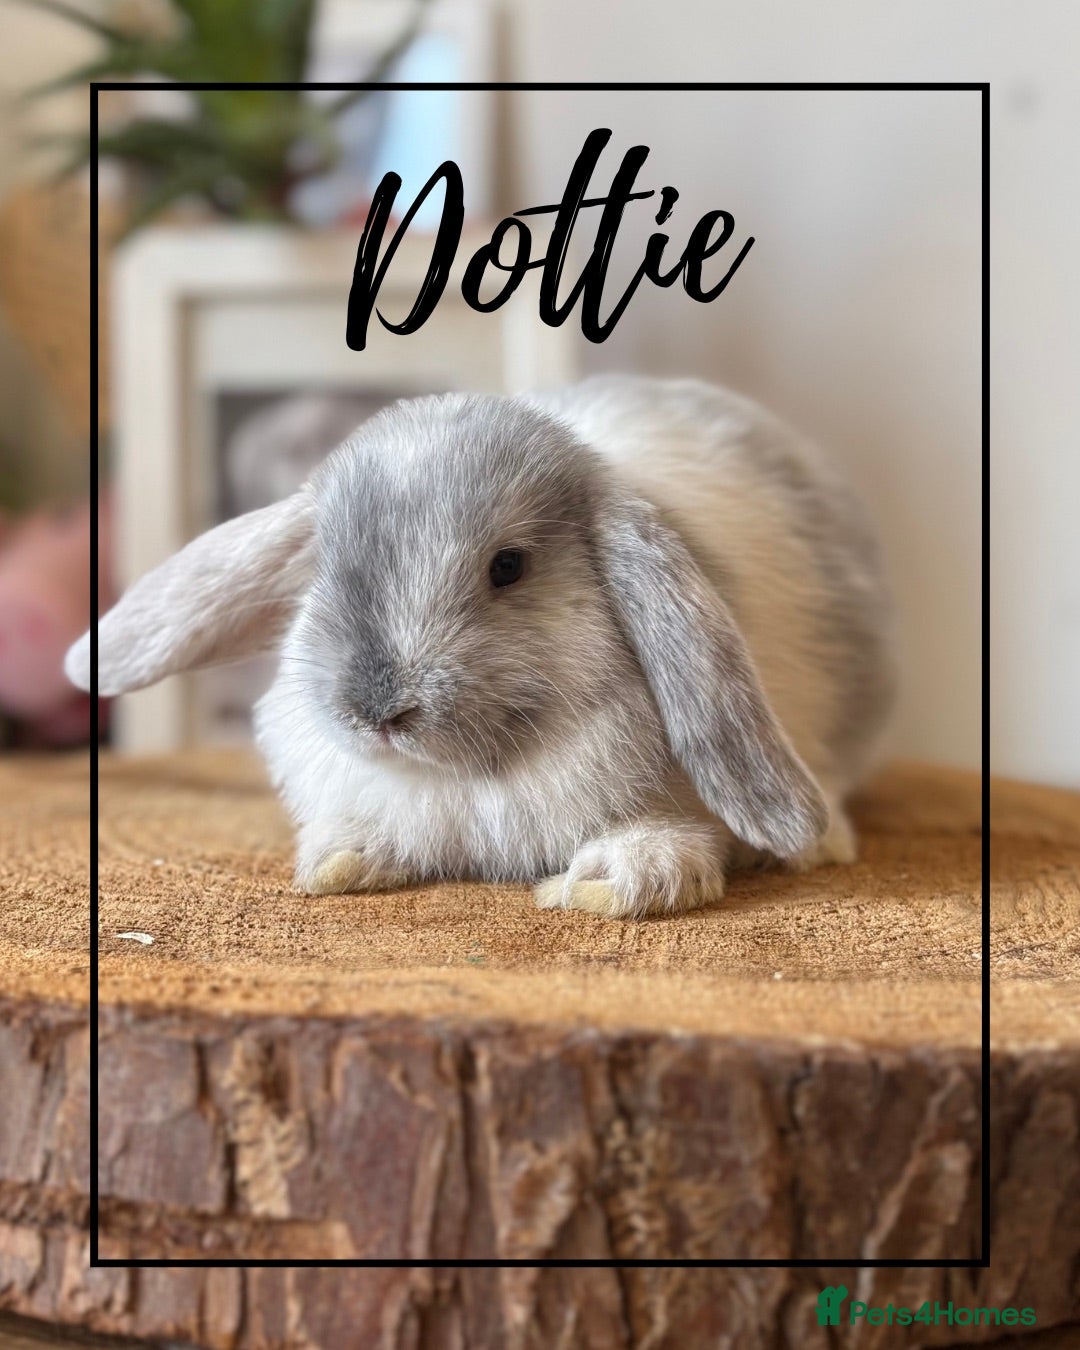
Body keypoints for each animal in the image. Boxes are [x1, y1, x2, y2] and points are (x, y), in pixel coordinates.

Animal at [66, 375, 897, 919]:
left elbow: (659, 847)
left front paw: (600, 885)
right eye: (328, 566)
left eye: (508, 566)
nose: (377, 711)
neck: (471, 776)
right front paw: (339, 862)